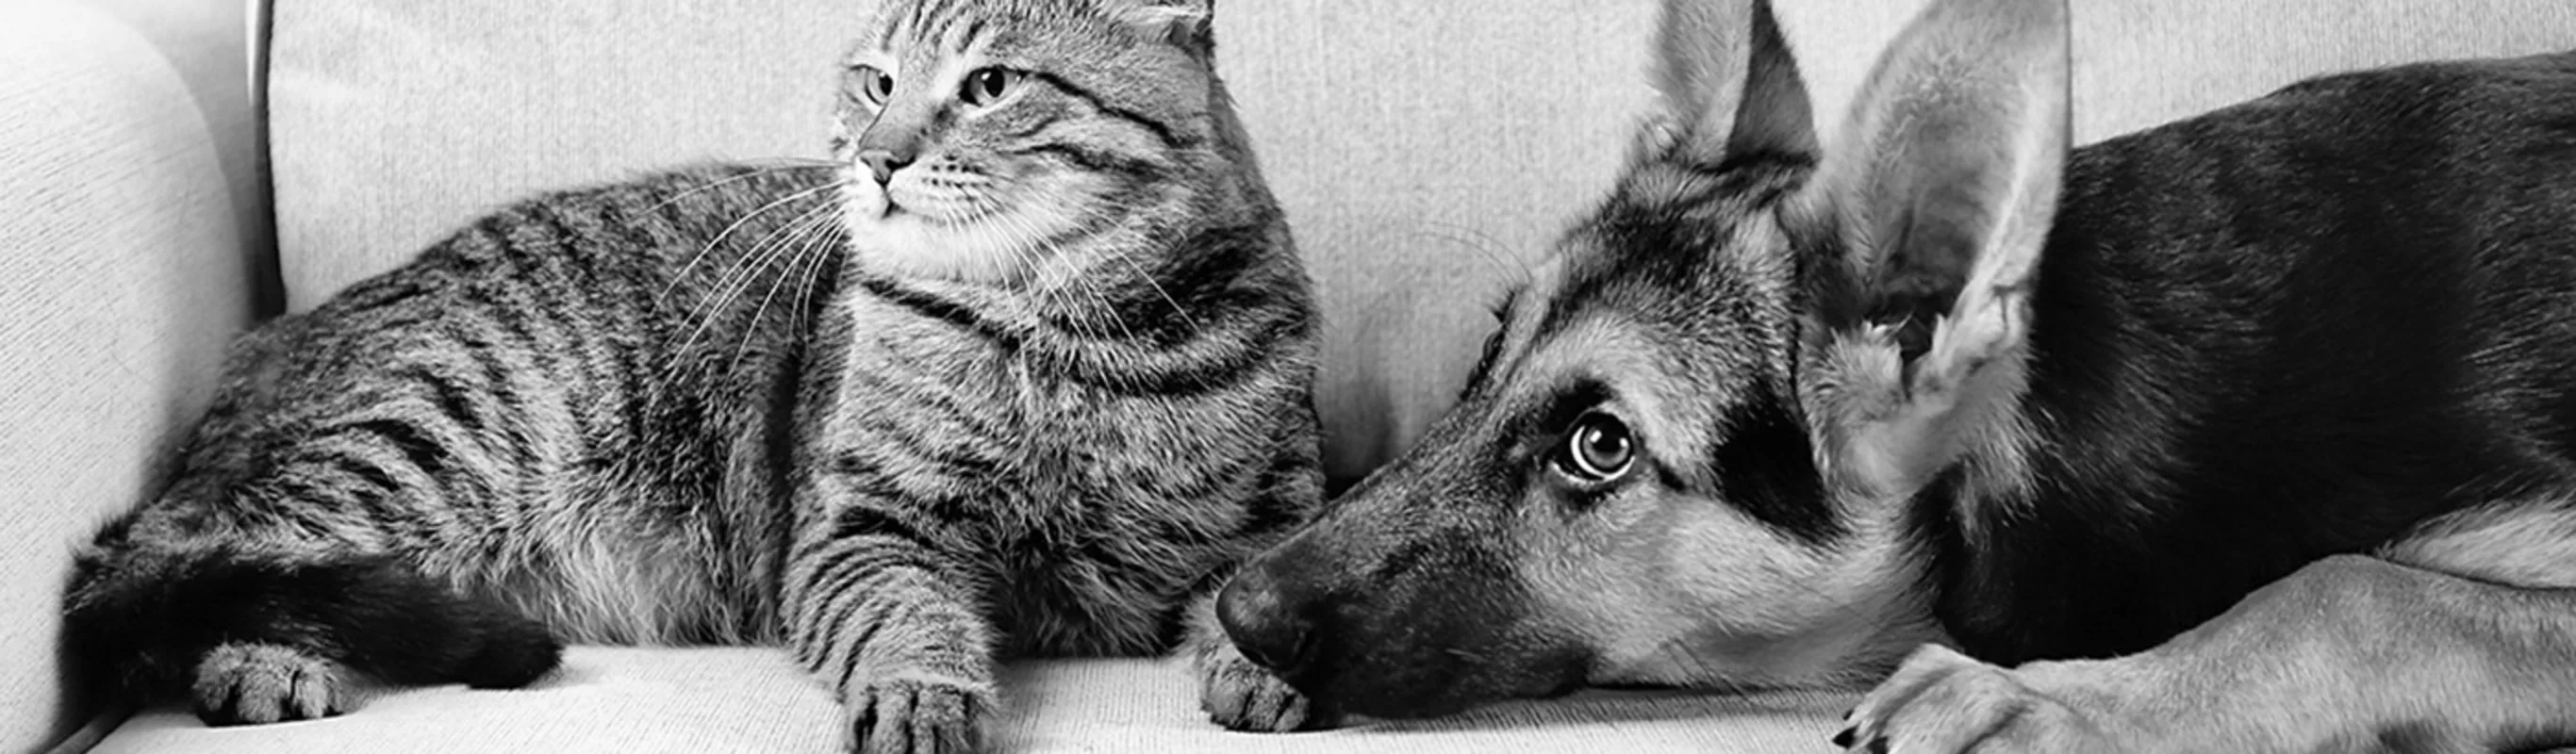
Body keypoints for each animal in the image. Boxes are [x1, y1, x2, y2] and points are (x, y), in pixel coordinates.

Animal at [60, 0, 1329, 746]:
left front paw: (1265, 663)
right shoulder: (864, 528)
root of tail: (285, 329)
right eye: (874, 82)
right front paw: (924, 693)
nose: (878, 159)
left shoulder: (1274, 517)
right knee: (221, 543)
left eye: (990, 86)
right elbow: (909, 619)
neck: (1082, 344)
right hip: (438, 426)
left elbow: (1253, 588)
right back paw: (264, 653)